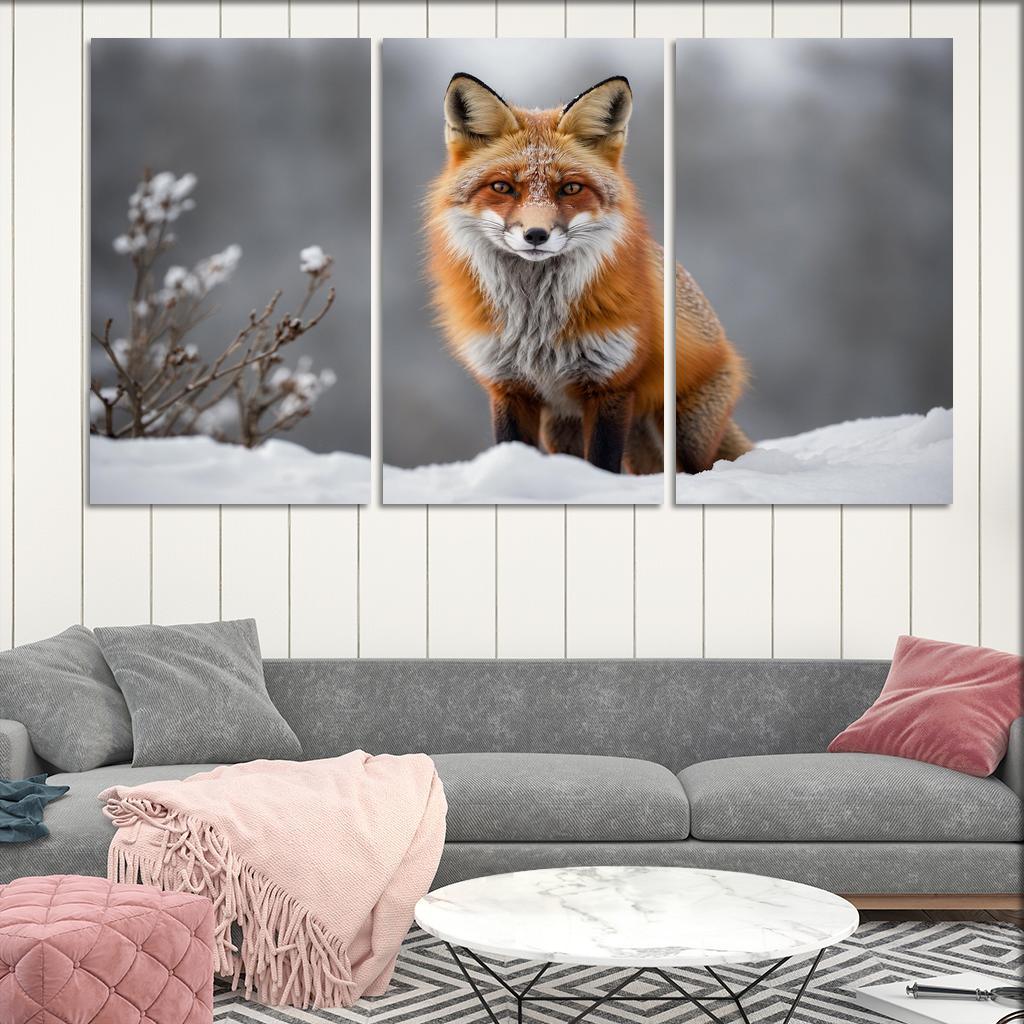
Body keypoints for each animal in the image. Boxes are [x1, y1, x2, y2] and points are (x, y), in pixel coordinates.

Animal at [425, 72, 751, 475]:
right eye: (502, 187)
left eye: (570, 188)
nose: (536, 234)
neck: (535, 323)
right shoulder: (509, 387)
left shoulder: (610, 385)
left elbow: (603, 463)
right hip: (564, 429)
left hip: (684, 435)